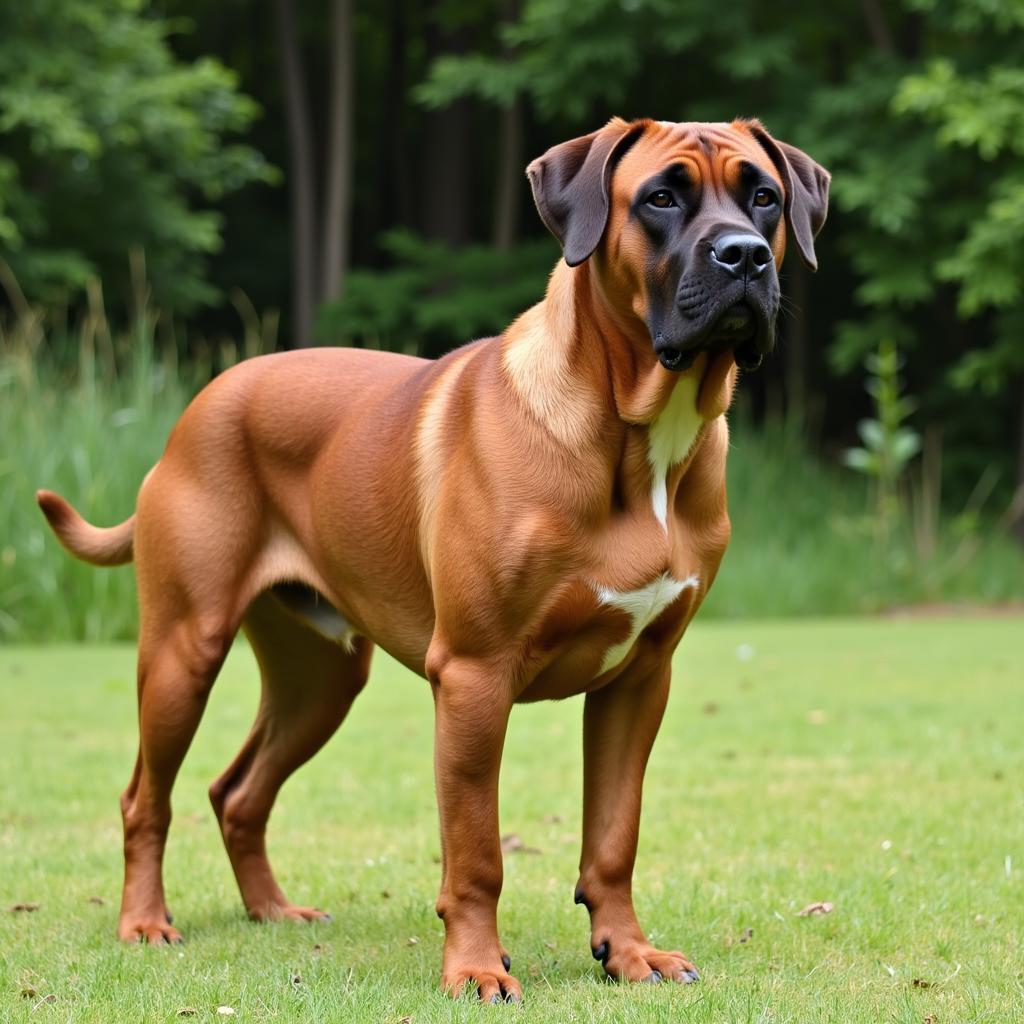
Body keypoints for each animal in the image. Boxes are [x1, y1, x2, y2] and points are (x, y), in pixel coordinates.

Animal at [37, 117, 823, 999]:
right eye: (660, 198)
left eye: (764, 196)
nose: (744, 256)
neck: (637, 435)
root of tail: (197, 406)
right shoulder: (475, 677)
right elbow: (476, 851)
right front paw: (477, 967)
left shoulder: (639, 678)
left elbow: (614, 838)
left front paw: (628, 951)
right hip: (184, 649)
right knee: (147, 798)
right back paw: (144, 921)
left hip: (321, 678)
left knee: (238, 792)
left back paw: (273, 910)